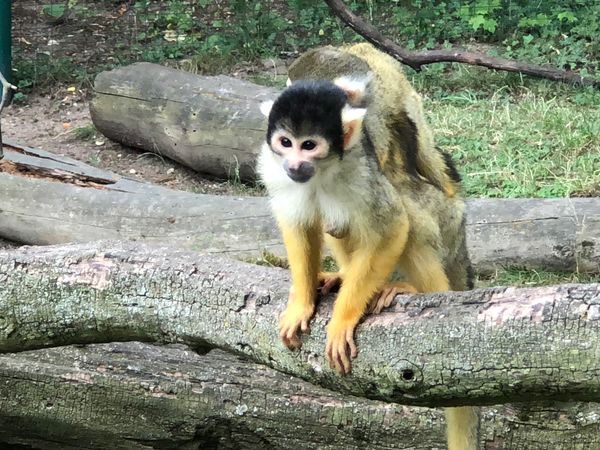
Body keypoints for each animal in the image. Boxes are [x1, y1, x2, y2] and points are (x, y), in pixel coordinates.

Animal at [258, 44, 478, 450]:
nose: (296, 163)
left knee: (407, 201)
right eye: (285, 142)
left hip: (444, 218)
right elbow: (300, 221)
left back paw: (418, 289)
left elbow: (392, 220)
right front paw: (303, 300)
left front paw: (344, 317)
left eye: (311, 143)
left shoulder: (369, 131)